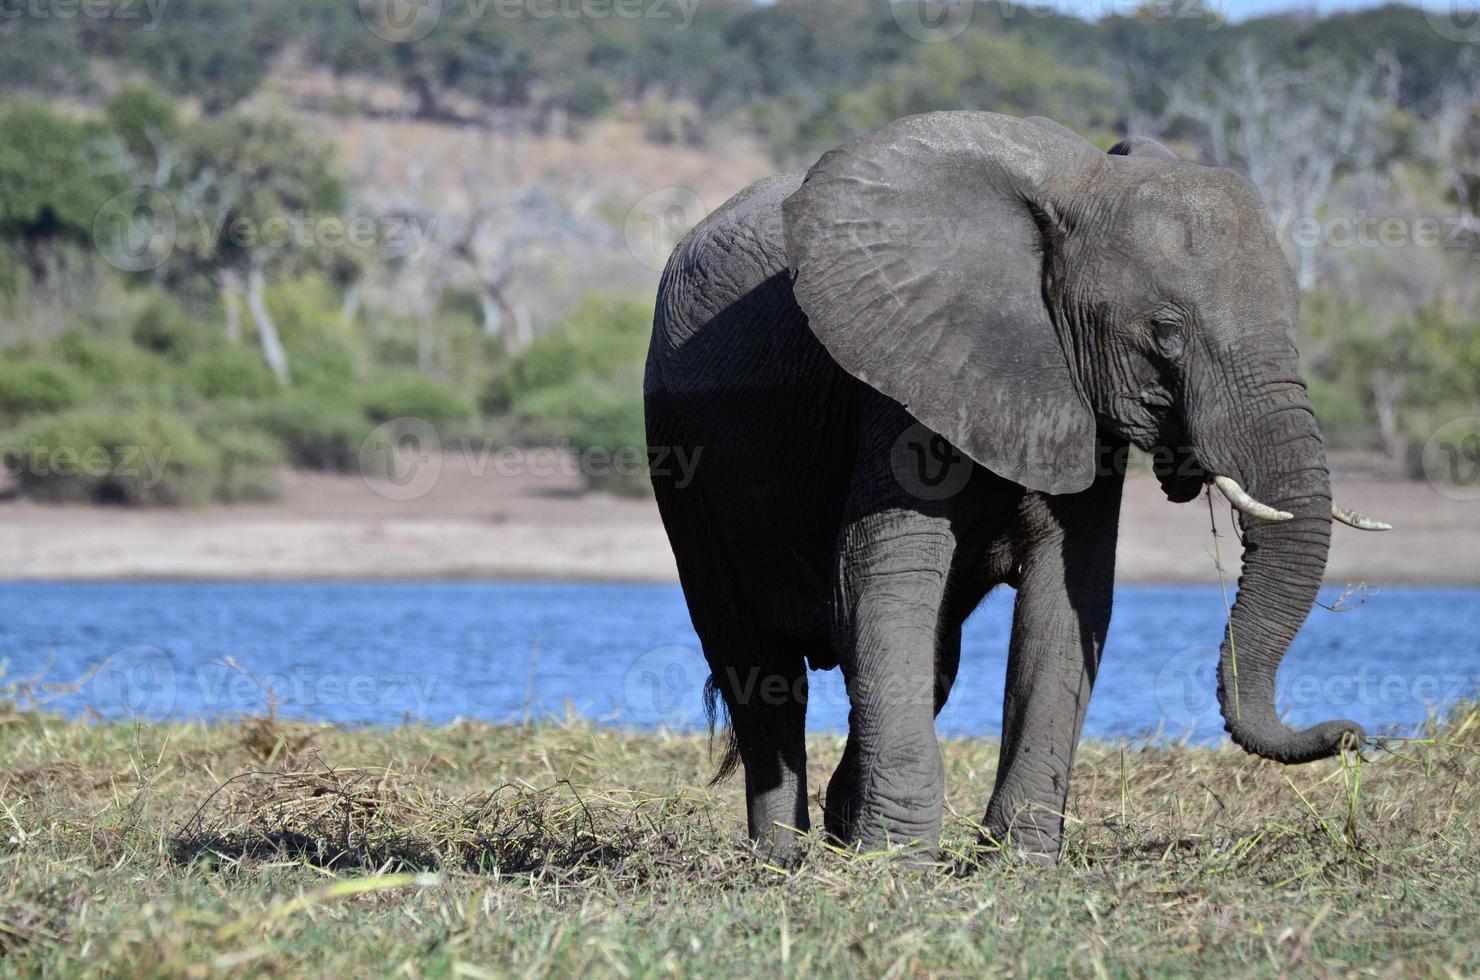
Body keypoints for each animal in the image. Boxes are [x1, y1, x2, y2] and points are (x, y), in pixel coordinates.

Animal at [642, 113, 1391, 870]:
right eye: (1165, 332)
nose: (1357, 736)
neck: (1074, 192)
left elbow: (1068, 595)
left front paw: (1016, 862)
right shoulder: (907, 368)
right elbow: (880, 584)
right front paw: (900, 864)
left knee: (931, 662)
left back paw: (840, 830)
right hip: (677, 447)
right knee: (758, 670)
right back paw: (785, 859)